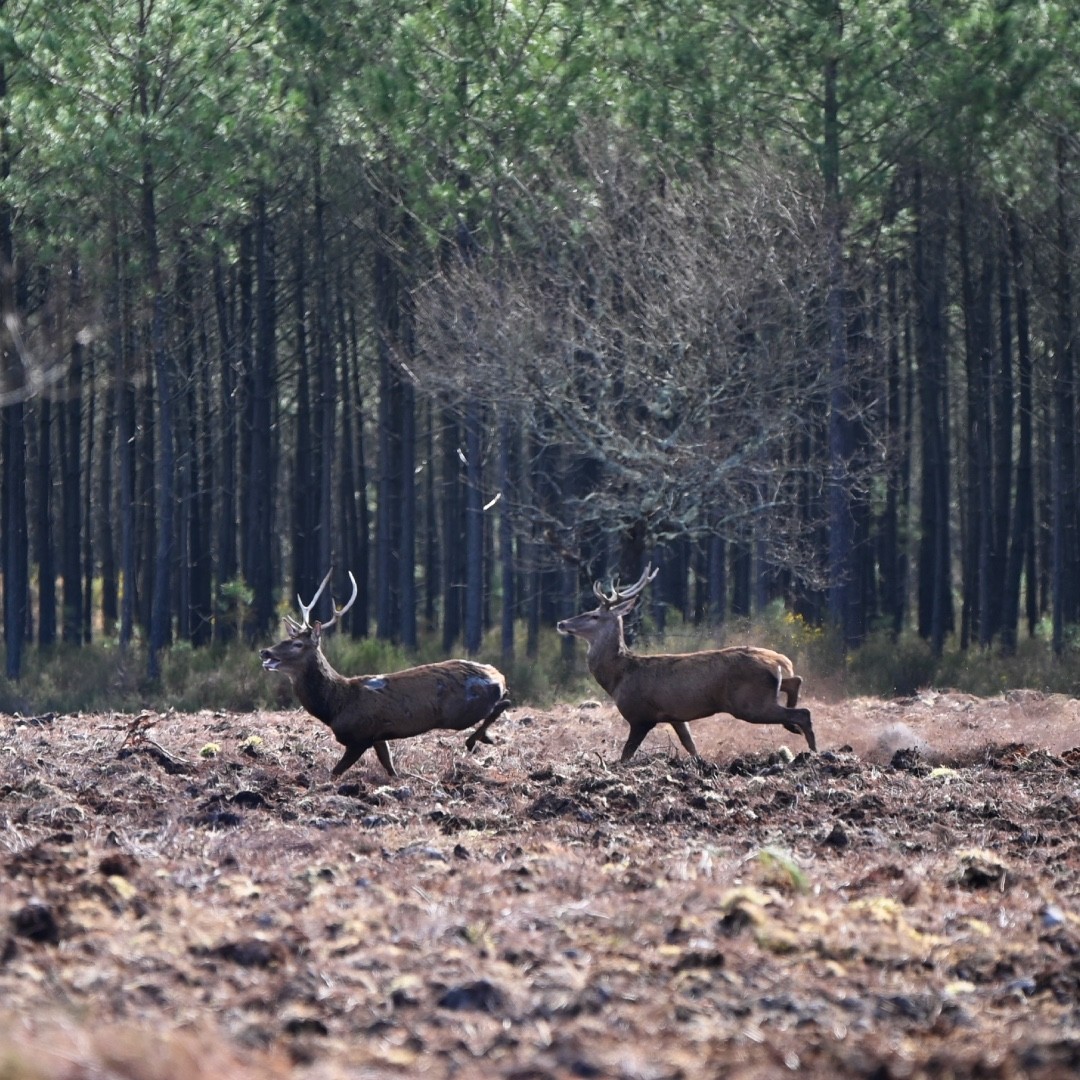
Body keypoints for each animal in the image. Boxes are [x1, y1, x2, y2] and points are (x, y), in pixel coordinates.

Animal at [263, 565, 511, 777]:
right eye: (286, 638)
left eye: (298, 644)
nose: (265, 652)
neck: (335, 705)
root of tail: (497, 674)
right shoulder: (377, 737)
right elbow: (390, 768)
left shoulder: (360, 736)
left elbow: (335, 772)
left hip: (461, 711)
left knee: (503, 702)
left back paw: (476, 740)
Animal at [561, 561, 812, 764]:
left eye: (594, 615)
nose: (562, 623)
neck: (618, 677)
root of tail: (777, 659)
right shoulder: (675, 716)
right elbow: (690, 744)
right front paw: (700, 764)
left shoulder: (640, 715)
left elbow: (626, 754)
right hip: (764, 692)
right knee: (795, 681)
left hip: (749, 702)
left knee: (803, 712)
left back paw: (810, 749)